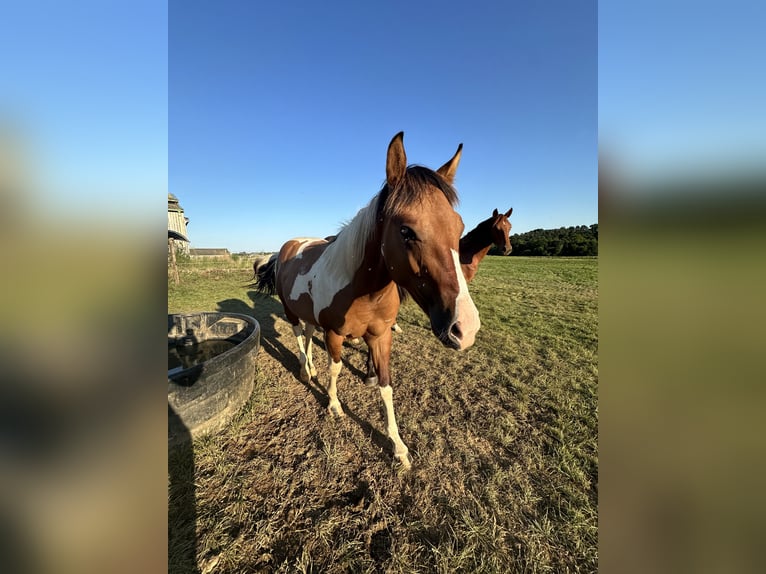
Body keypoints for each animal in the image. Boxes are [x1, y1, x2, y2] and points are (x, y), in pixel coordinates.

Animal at [256, 133, 480, 470]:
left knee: (307, 334)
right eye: (406, 230)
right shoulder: (333, 334)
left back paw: (310, 368)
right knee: (297, 336)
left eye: (459, 227)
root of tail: (288, 247)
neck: (362, 289)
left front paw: (398, 446)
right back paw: (305, 370)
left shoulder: (381, 336)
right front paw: (334, 405)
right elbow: (336, 369)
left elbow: (386, 385)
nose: (465, 327)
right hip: (290, 311)